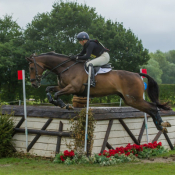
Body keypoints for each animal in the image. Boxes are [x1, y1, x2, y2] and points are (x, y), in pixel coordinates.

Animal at [26, 52, 171, 133]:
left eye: (32, 68)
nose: (33, 84)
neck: (65, 67)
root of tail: (136, 74)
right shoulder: (62, 86)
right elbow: (49, 90)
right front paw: (58, 103)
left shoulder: (73, 88)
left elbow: (57, 94)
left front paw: (64, 105)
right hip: (130, 99)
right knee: (151, 109)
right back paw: (161, 126)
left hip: (134, 99)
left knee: (153, 107)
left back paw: (162, 125)